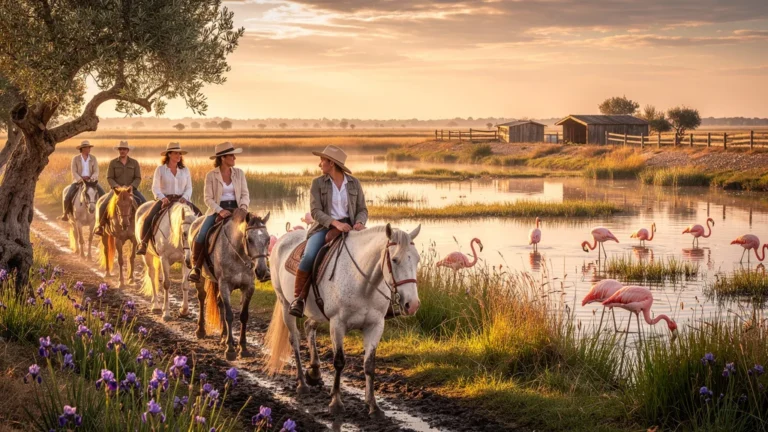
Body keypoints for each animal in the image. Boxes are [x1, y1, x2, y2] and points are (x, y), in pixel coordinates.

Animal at [188, 209, 271, 360]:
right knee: (202, 297)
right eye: (249, 240)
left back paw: (223, 337)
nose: (262, 271)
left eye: (268, 240)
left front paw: (243, 348)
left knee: (219, 302)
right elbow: (229, 315)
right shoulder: (225, 285)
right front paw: (230, 350)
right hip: (202, 277)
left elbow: (244, 316)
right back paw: (201, 331)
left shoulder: (248, 287)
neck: (238, 253)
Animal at [265, 223, 421, 417]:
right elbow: (339, 362)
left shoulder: (375, 326)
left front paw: (373, 405)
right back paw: (302, 383)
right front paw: (336, 403)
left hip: (317, 312)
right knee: (294, 338)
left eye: (417, 260)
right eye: (395, 259)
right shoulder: (337, 324)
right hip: (285, 304)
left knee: (309, 327)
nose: (412, 304)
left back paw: (314, 372)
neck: (363, 283)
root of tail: (282, 240)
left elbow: (369, 365)